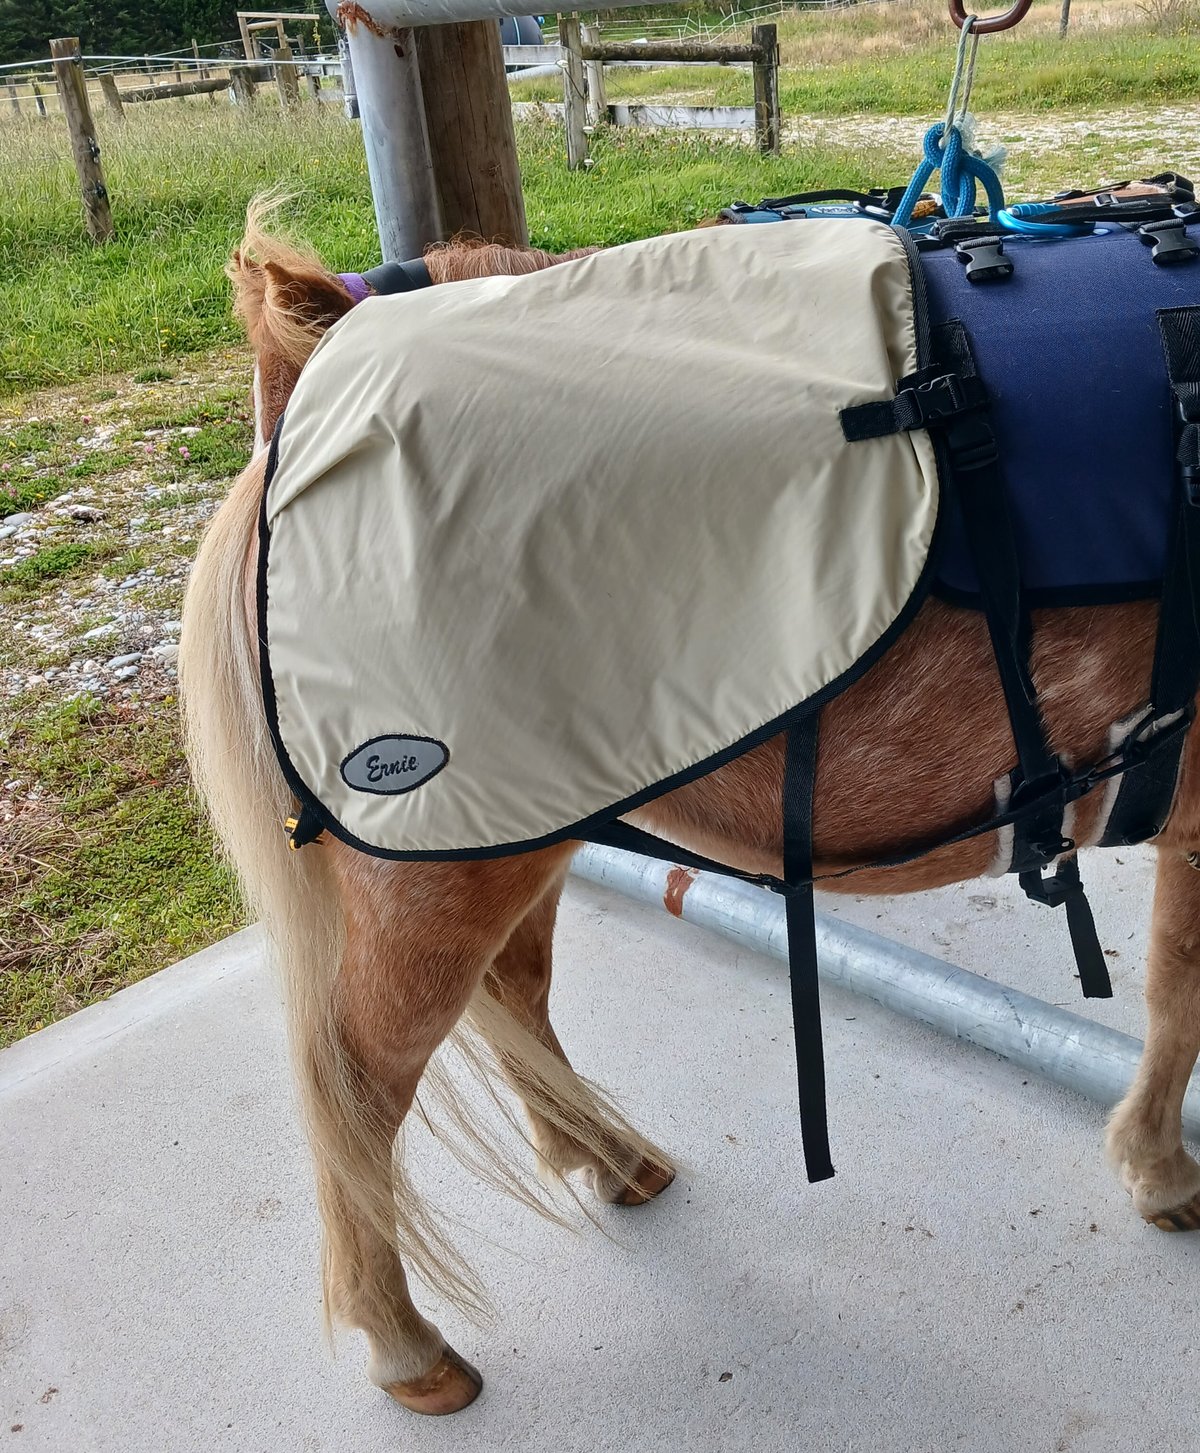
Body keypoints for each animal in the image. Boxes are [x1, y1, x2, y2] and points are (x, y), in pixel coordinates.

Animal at [177, 204, 1197, 1418]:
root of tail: (314, 356)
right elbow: (1182, 998)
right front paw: (1161, 1170)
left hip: (520, 826)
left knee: (511, 997)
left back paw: (612, 1158)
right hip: (435, 871)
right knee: (357, 1088)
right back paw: (406, 1345)